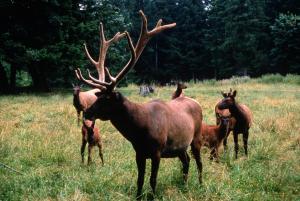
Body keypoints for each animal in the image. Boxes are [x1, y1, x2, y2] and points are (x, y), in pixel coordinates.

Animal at [74, 10, 204, 199]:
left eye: (105, 99)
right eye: (98, 97)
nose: (87, 111)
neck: (139, 131)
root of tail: (196, 102)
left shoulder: (157, 151)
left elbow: (152, 180)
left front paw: (153, 196)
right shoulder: (139, 152)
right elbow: (140, 180)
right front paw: (137, 196)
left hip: (197, 136)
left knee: (199, 162)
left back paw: (200, 184)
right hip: (180, 147)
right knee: (186, 161)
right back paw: (184, 184)